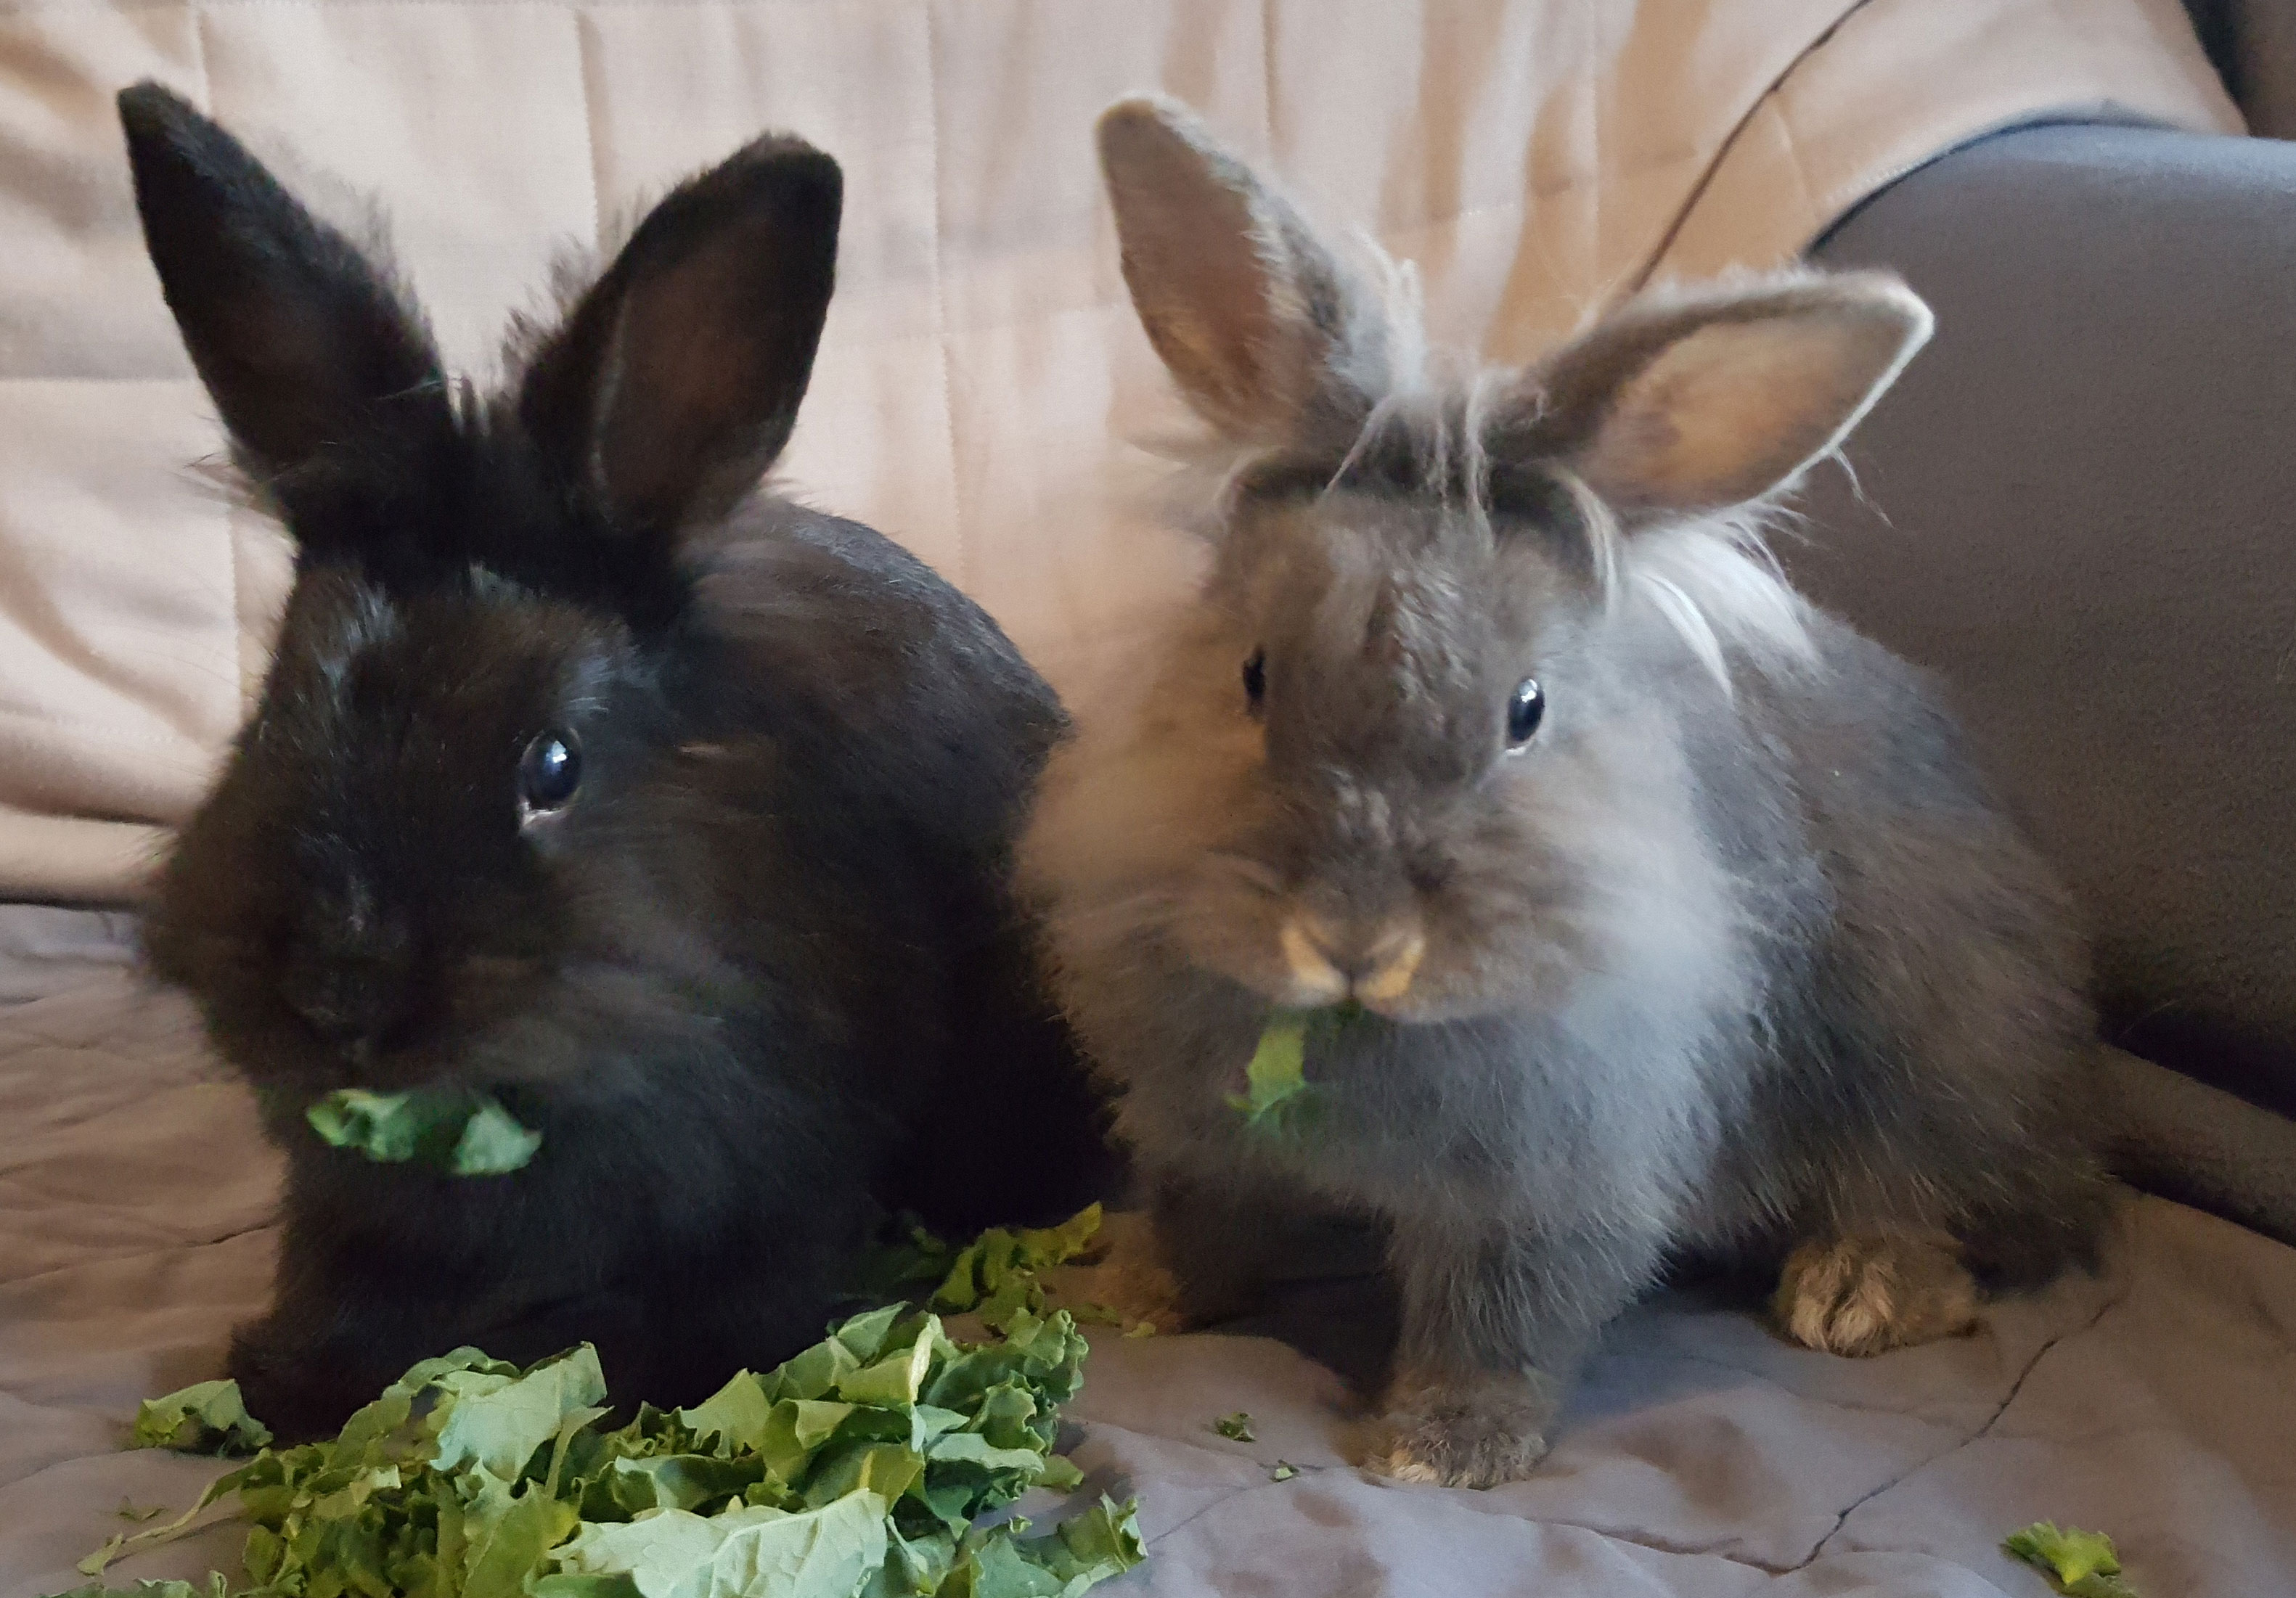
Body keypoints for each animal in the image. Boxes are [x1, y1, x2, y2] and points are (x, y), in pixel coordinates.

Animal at [123, 82, 1108, 1442]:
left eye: (553, 763)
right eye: (270, 714)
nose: (341, 992)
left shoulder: (774, 1169)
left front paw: (663, 1389)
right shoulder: (353, 1212)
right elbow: (346, 1286)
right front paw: (291, 1385)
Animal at [1022, 95, 2115, 1489]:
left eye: (1525, 711)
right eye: (1253, 674)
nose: (1351, 938)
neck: (1358, 1034)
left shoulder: (1561, 1168)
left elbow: (1508, 1309)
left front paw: (1441, 1450)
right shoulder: (1196, 1129)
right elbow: (1196, 1219)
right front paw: (1121, 1298)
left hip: (1944, 1059)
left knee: (1962, 1214)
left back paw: (1852, 1292)